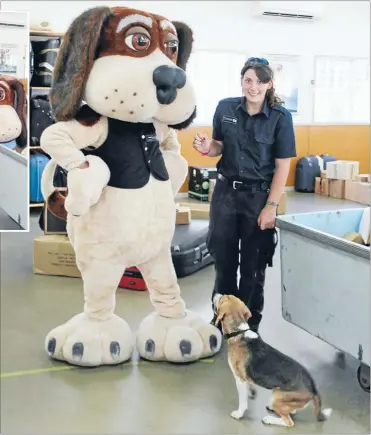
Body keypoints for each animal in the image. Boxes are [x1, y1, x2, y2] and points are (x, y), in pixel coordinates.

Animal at [214, 294, 332, 428]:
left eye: (222, 298)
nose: (216, 294)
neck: (239, 333)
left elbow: (243, 401)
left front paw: (239, 414)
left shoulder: (240, 379)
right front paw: (252, 392)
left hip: (277, 397)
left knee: (289, 422)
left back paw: (269, 419)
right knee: (291, 410)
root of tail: (313, 388)